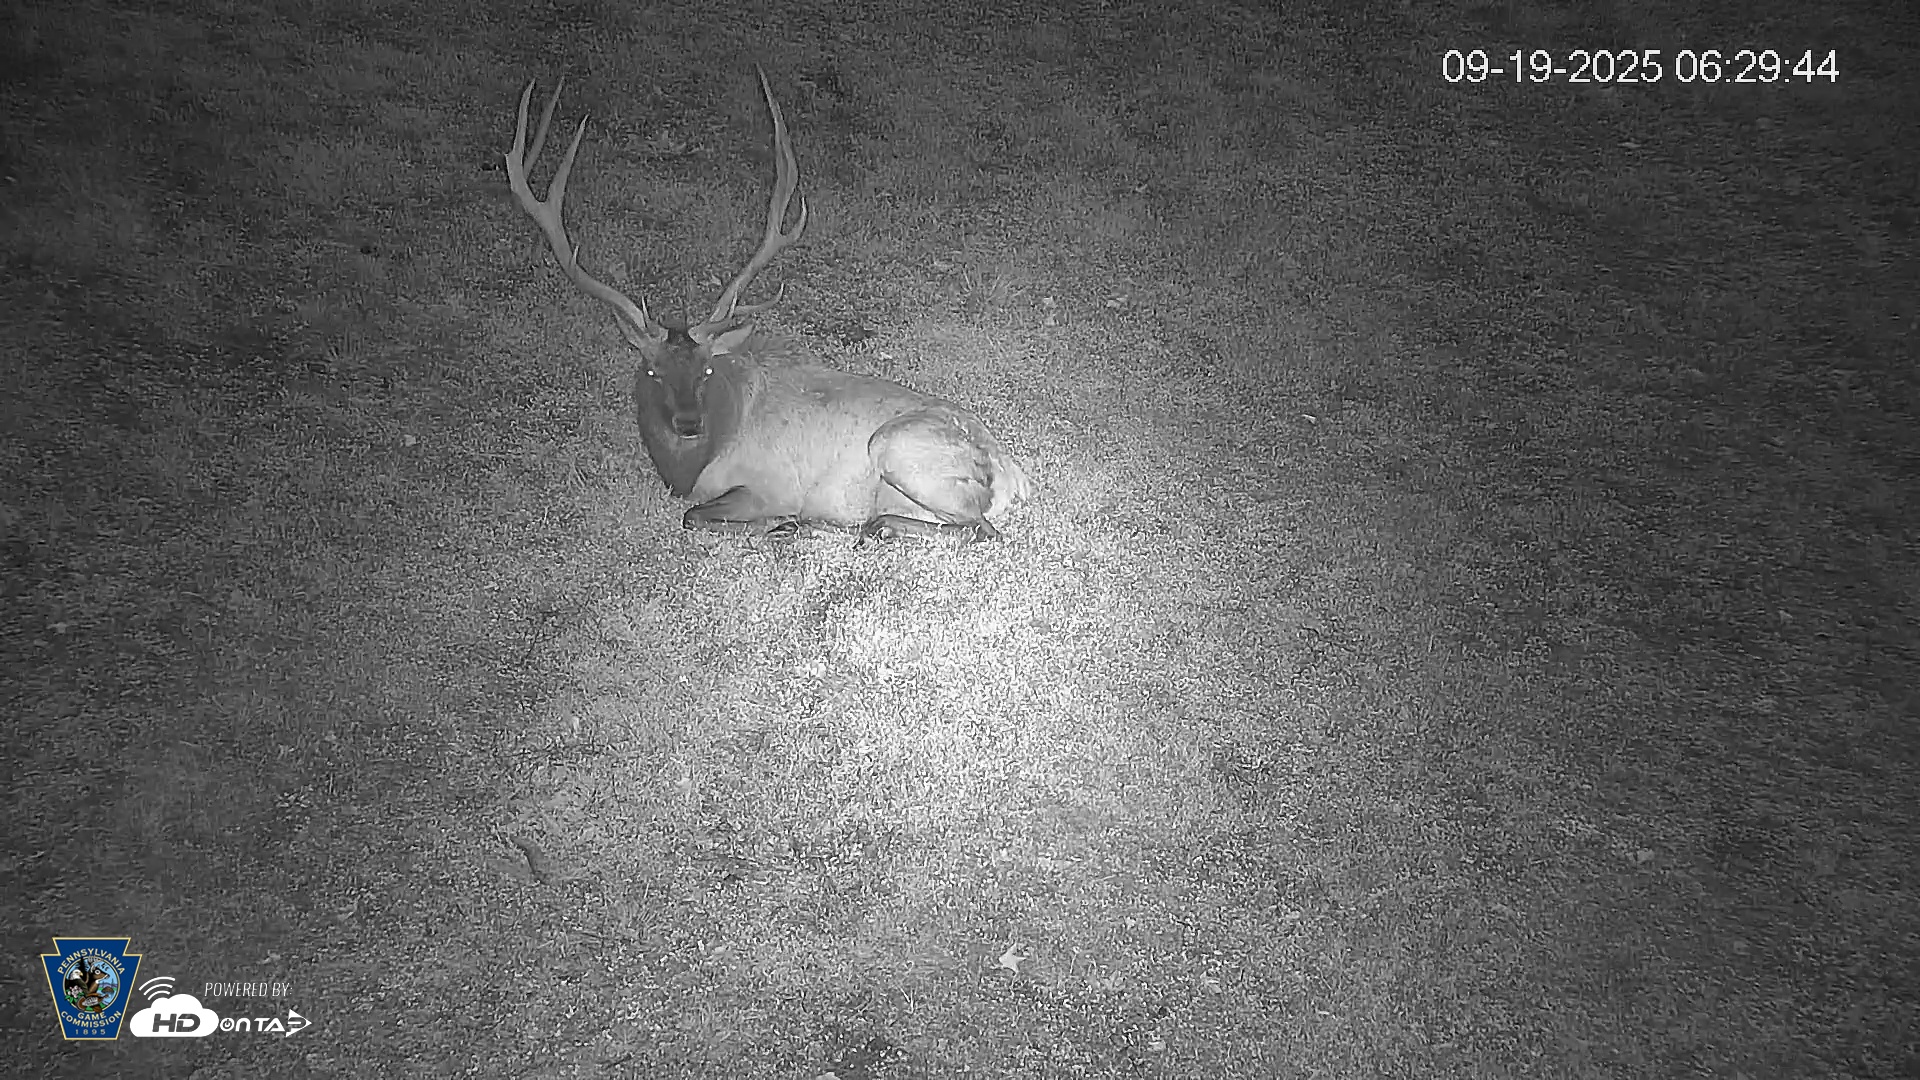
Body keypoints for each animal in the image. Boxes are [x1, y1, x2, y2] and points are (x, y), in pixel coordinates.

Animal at [502, 70, 1032, 543]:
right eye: (652, 370)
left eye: (706, 370)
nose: (688, 423)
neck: (690, 467)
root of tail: (1013, 474)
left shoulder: (772, 484)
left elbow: (694, 517)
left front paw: (780, 526)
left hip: (897, 449)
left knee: (982, 530)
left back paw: (847, 526)